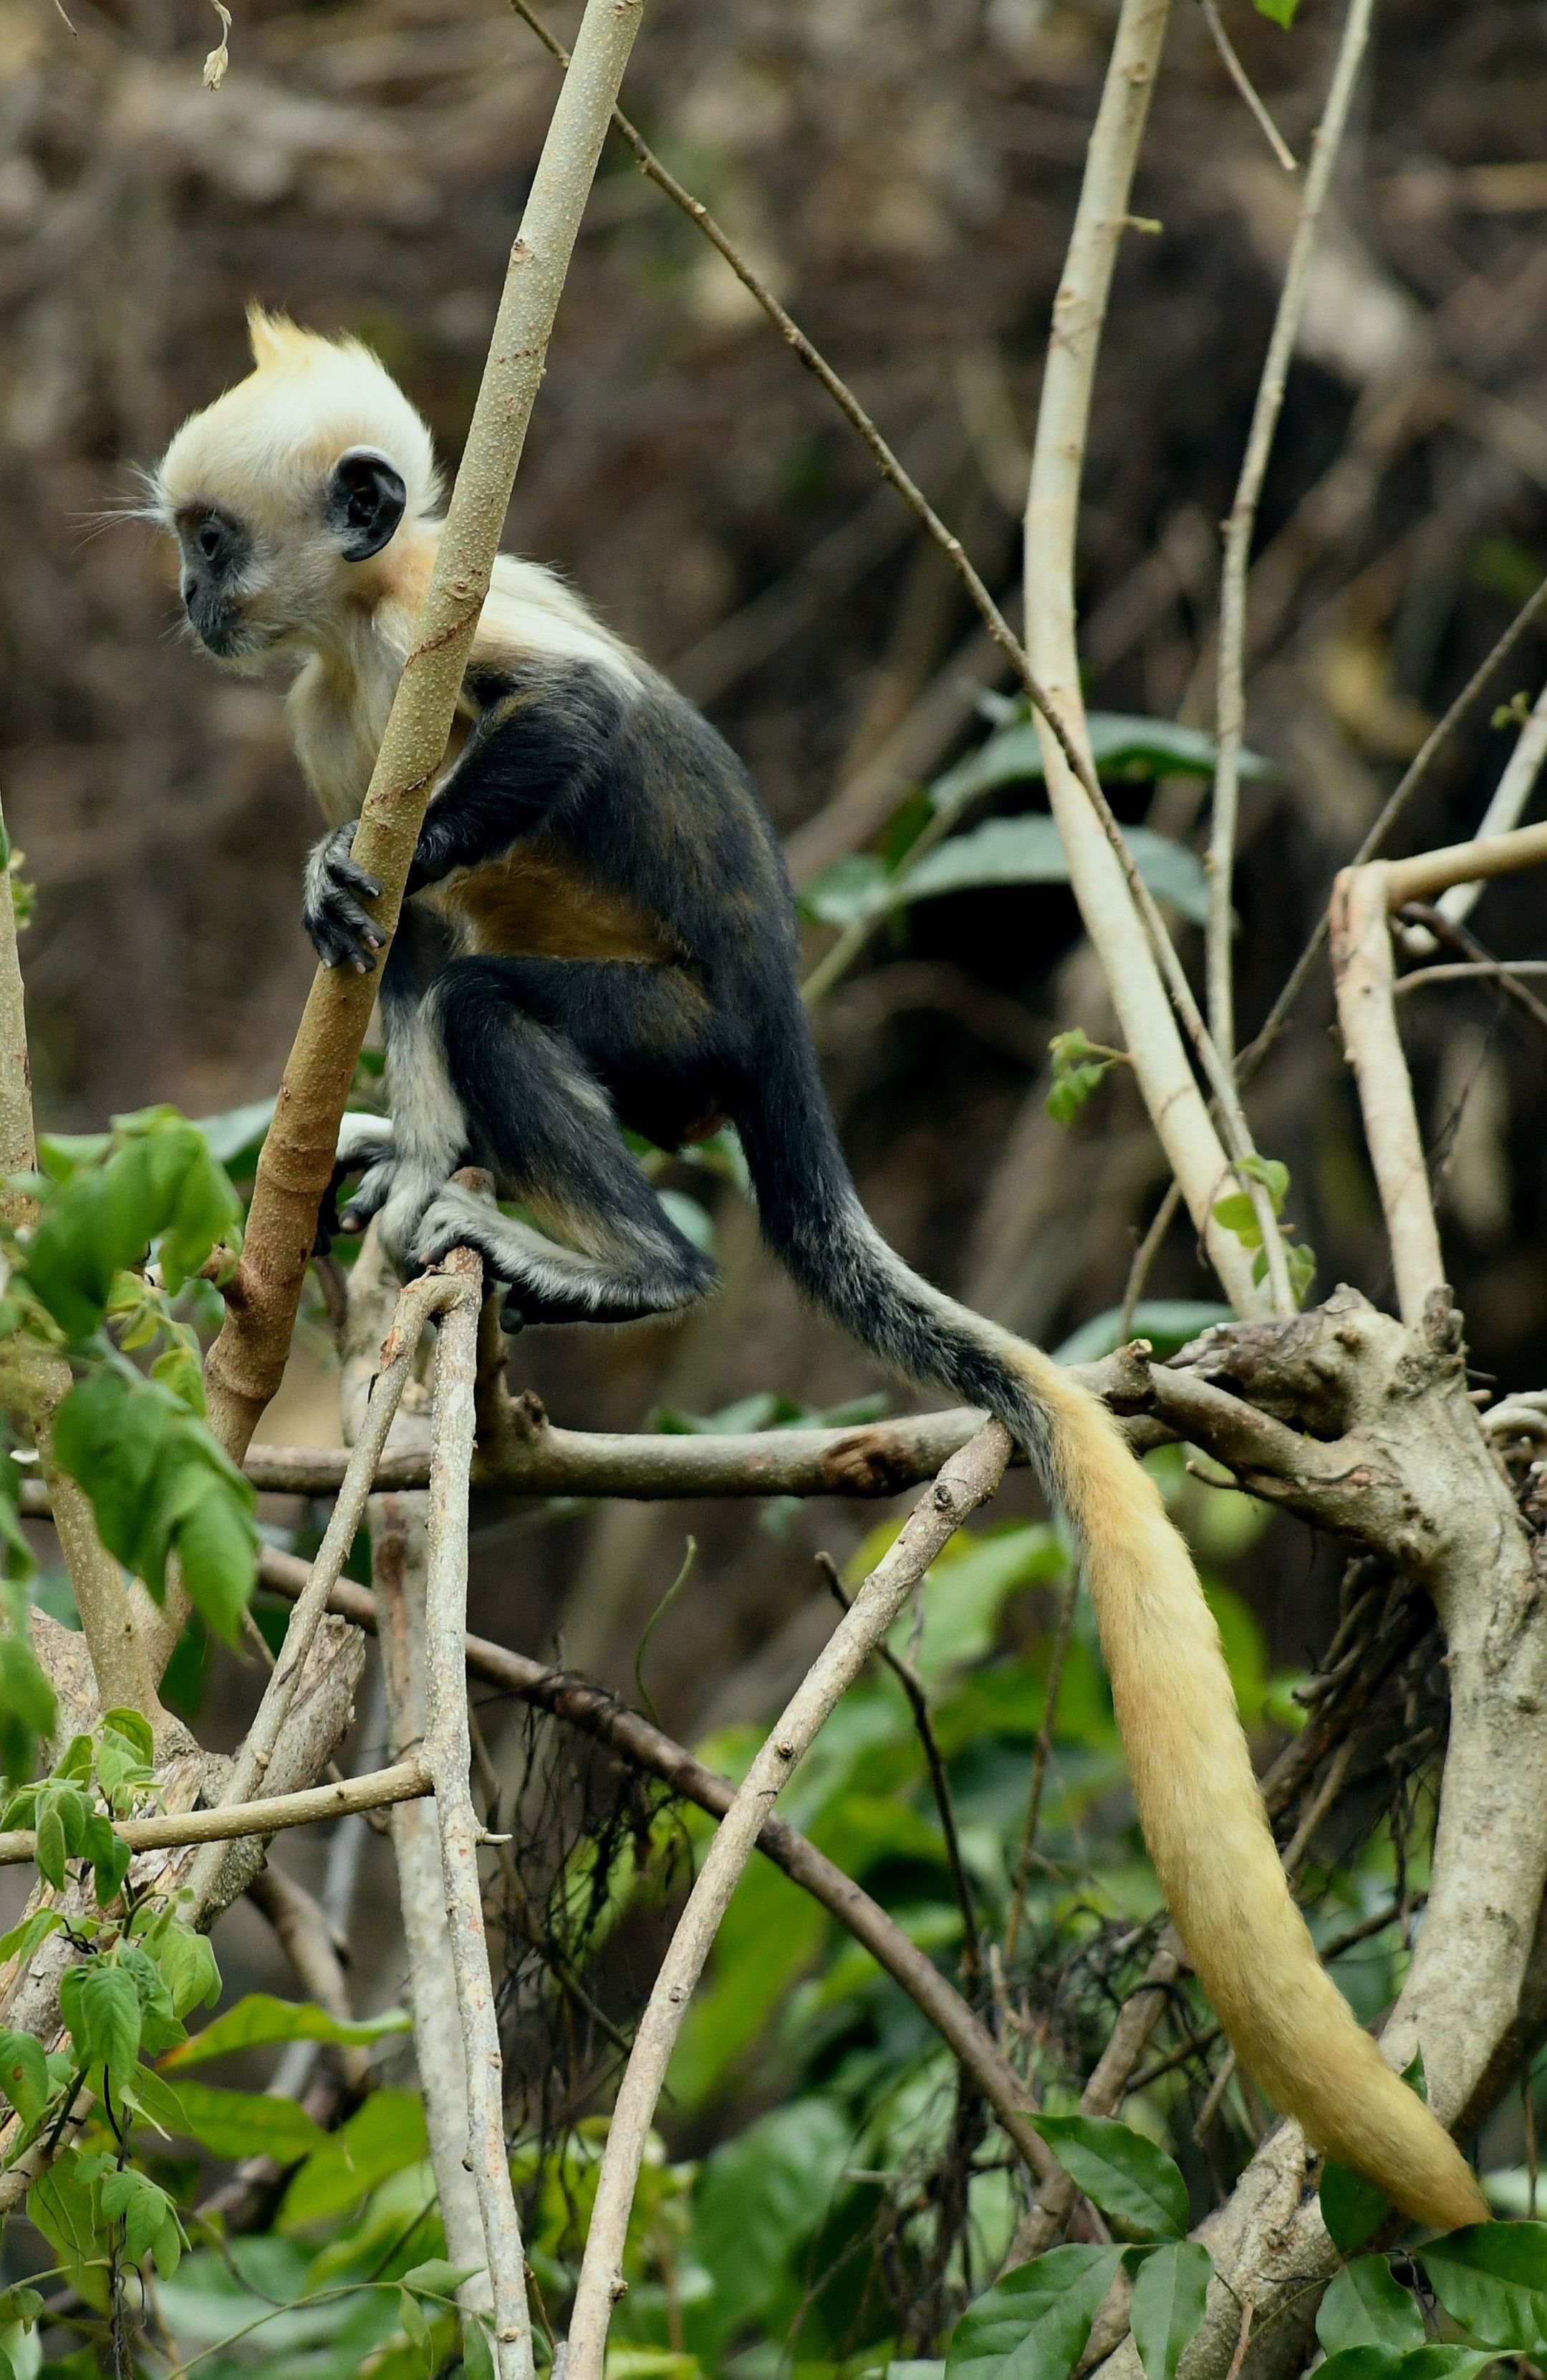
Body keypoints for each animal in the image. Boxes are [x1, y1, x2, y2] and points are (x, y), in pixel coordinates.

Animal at [153, 312, 1485, 2227]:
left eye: (213, 539)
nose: (188, 603)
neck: (351, 643)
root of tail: (779, 1025)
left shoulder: (427, 641)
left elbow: (562, 731)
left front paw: (380, 916)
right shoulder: (340, 710)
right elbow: (388, 936)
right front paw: (384, 1115)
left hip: (681, 1036)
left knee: (481, 988)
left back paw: (633, 1265)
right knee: (443, 970)